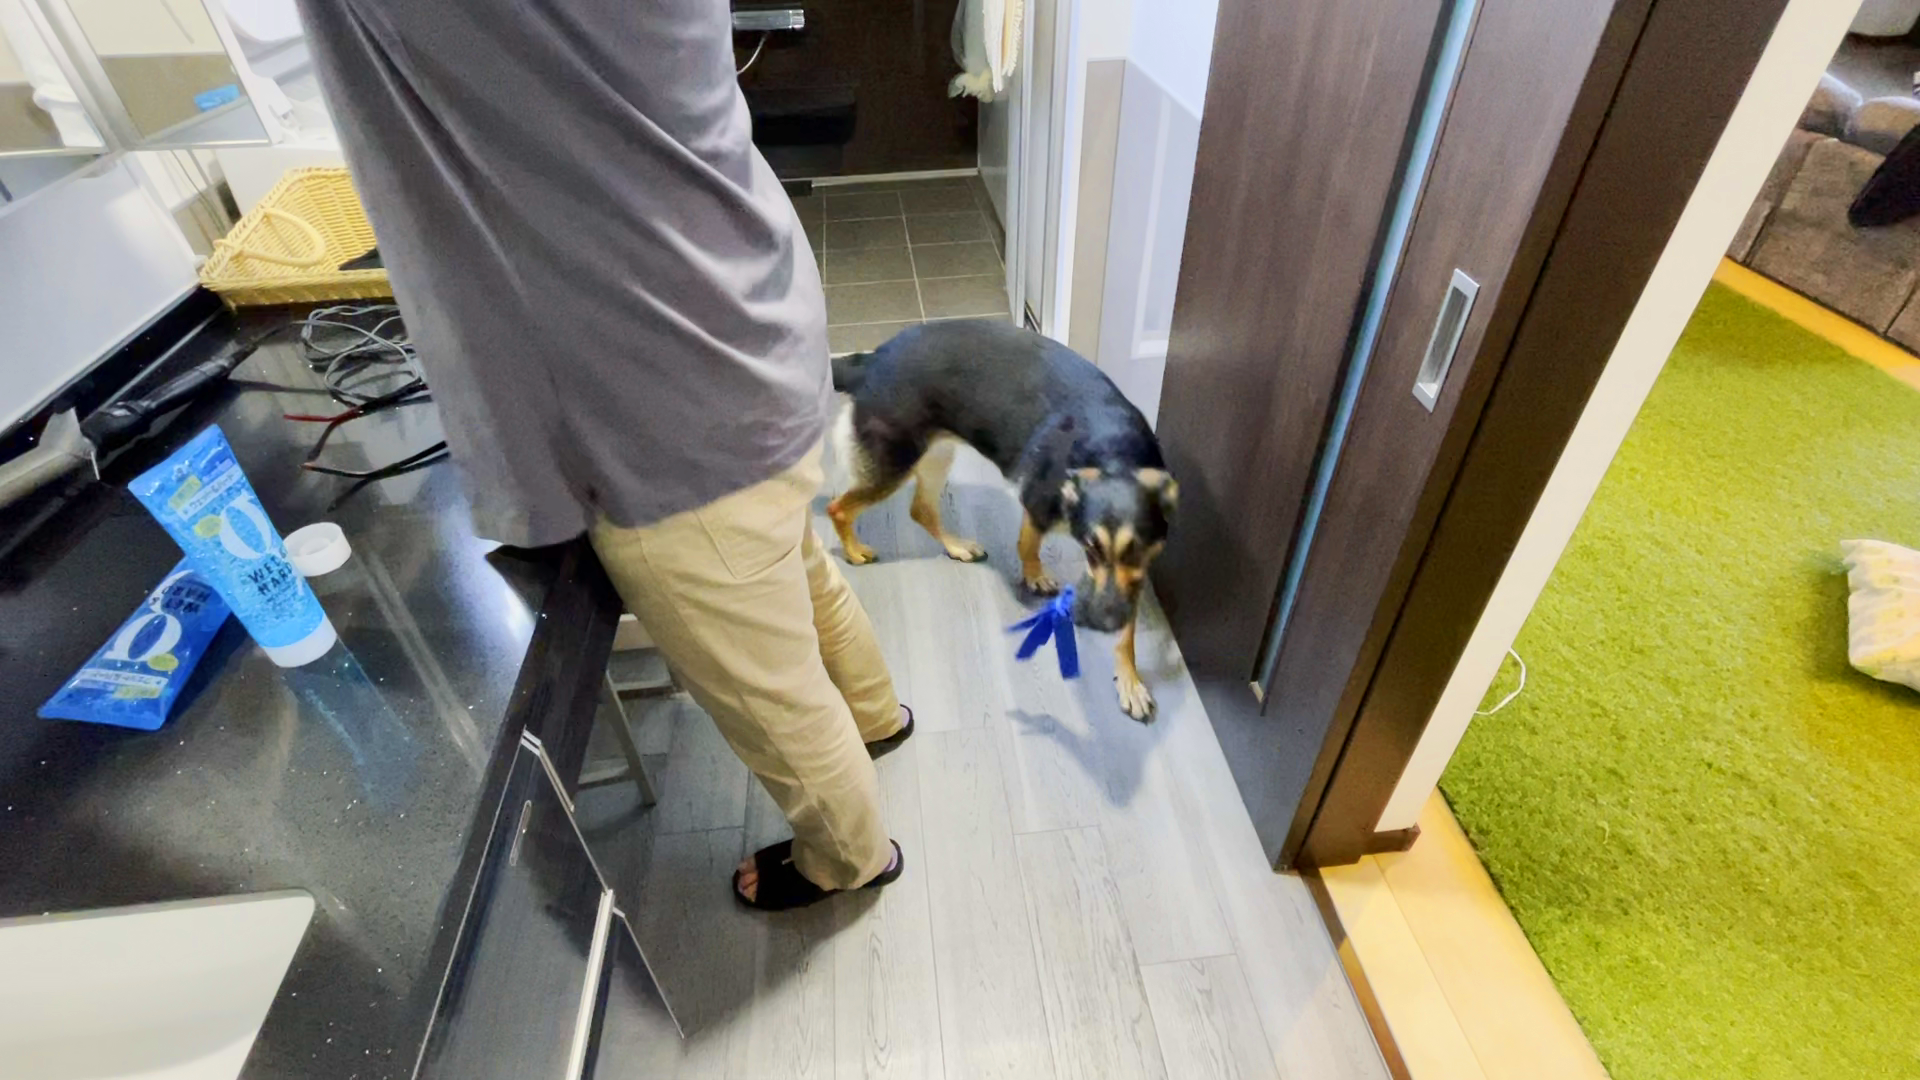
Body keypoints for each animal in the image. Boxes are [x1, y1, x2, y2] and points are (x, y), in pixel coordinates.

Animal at [826, 319, 1177, 721]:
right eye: (1092, 547)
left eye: (1137, 551)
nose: (1100, 621)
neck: (1114, 454)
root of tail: (871, 359)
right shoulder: (1036, 504)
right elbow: (1027, 545)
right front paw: (1035, 576)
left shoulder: (1134, 574)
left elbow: (1128, 629)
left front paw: (1130, 680)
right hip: (894, 463)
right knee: (838, 507)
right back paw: (854, 551)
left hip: (936, 455)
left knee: (920, 510)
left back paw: (957, 547)